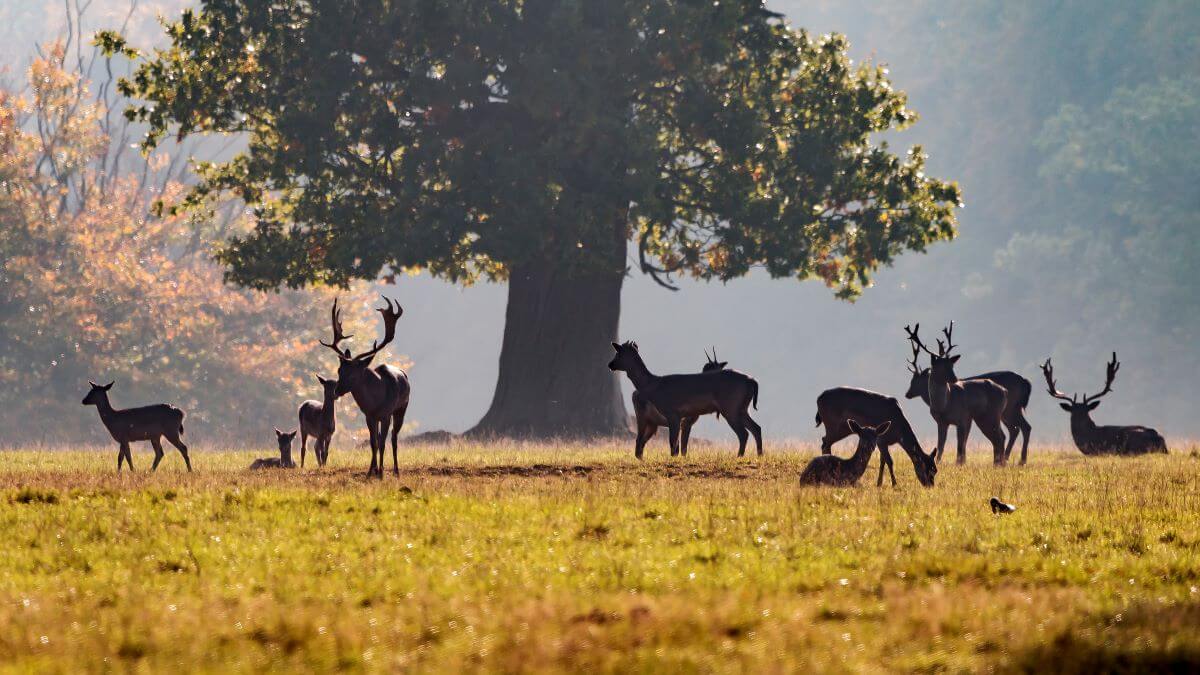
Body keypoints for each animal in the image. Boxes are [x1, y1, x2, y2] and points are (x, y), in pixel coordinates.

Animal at [321, 297, 410, 478]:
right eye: (339, 370)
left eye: (354, 374)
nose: (337, 391)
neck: (376, 402)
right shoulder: (369, 416)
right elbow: (372, 442)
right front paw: (371, 472)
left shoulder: (386, 414)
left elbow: (382, 443)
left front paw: (381, 472)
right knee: (381, 438)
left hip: (401, 409)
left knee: (394, 438)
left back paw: (396, 471)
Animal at [608, 341, 762, 457]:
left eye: (618, 353)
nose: (610, 364)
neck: (654, 387)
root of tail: (752, 380)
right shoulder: (680, 418)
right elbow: (678, 446)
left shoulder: (673, 413)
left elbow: (673, 444)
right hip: (742, 408)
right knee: (756, 428)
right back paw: (759, 455)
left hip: (730, 407)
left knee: (744, 433)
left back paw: (739, 456)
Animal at [904, 323, 1009, 466]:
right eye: (940, 366)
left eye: (951, 365)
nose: (955, 378)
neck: (944, 405)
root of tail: (1004, 391)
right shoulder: (941, 422)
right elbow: (941, 446)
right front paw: (938, 462)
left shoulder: (963, 418)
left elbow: (960, 446)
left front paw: (960, 464)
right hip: (982, 418)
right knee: (998, 438)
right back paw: (998, 464)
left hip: (993, 414)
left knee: (1000, 437)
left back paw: (999, 464)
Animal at [905, 344, 1034, 464]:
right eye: (912, 380)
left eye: (915, 381)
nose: (907, 394)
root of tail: (1025, 382)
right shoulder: (949, 421)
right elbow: (949, 443)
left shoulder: (964, 418)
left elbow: (961, 442)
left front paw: (960, 462)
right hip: (1004, 413)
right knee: (1014, 430)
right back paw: (1006, 460)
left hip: (1009, 409)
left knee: (1019, 429)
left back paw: (1018, 460)